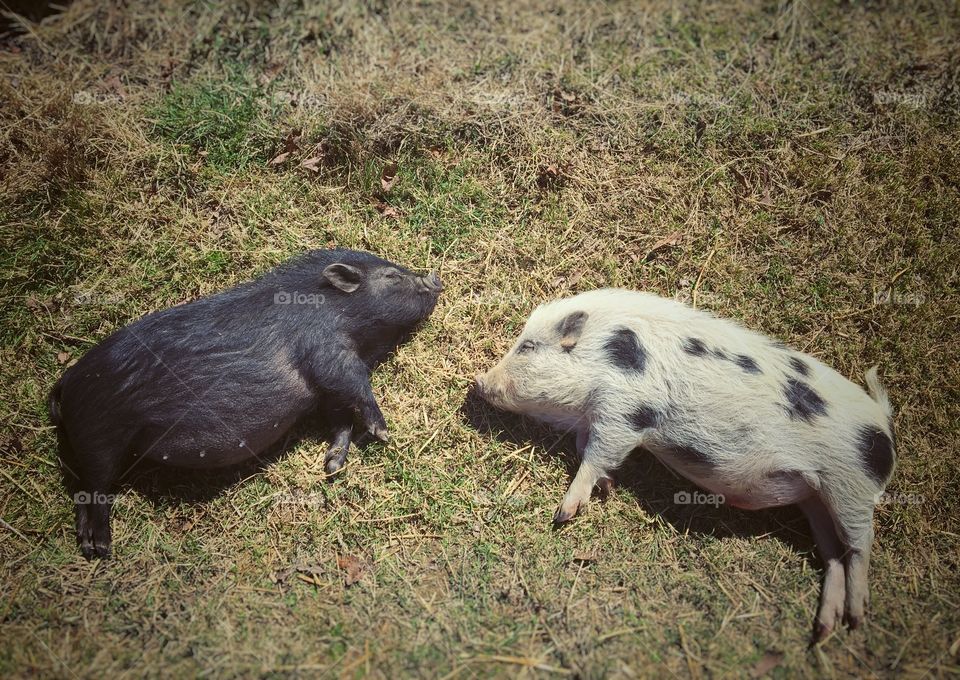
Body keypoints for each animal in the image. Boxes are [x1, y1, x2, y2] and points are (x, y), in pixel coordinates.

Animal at [48, 250, 442, 556]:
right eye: (391, 275)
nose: (435, 276)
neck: (339, 314)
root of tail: (65, 383)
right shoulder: (329, 352)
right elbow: (357, 387)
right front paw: (385, 434)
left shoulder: (323, 390)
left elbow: (339, 417)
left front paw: (331, 467)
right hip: (99, 434)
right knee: (96, 488)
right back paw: (103, 549)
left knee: (82, 493)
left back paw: (88, 546)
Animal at [476, 290, 896, 640]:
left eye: (528, 346)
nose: (477, 382)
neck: (604, 354)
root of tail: (884, 423)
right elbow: (588, 450)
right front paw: (607, 488)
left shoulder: (626, 411)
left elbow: (596, 455)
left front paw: (563, 514)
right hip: (815, 499)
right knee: (832, 554)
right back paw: (824, 630)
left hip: (850, 486)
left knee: (861, 544)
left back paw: (857, 618)